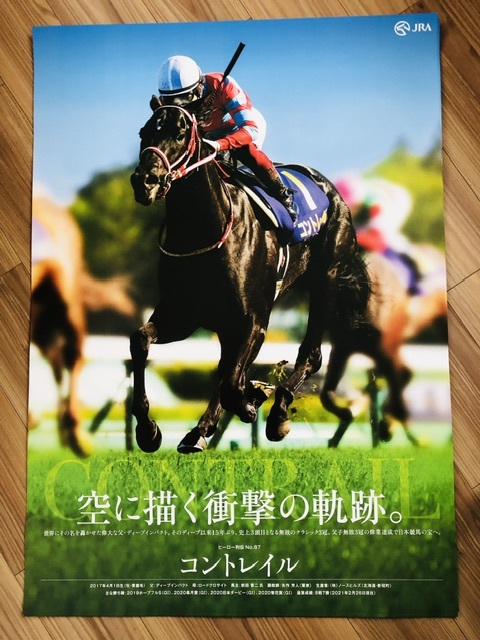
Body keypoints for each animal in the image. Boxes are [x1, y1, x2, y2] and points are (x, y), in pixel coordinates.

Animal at [129, 99, 372, 454]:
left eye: (180, 132)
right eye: (144, 132)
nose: (145, 180)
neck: (206, 230)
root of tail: (331, 190)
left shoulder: (254, 321)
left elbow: (233, 382)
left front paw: (253, 400)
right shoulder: (182, 314)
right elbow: (140, 340)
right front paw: (148, 431)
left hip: (326, 281)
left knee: (310, 355)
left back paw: (277, 413)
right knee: (227, 367)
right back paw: (200, 431)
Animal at [320, 247, 448, 447]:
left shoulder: (386, 352)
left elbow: (396, 389)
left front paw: (388, 429)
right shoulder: (342, 349)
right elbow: (327, 395)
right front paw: (347, 415)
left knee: (403, 376)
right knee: (404, 374)